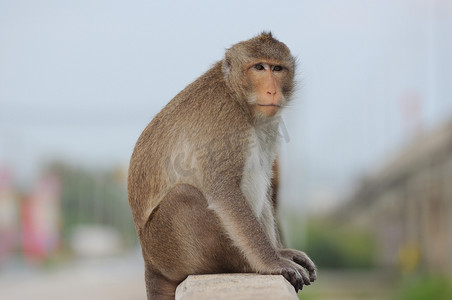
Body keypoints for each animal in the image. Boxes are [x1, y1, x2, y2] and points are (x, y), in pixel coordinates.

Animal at [127, 31, 316, 298]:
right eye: (259, 67)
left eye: (277, 68)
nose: (272, 91)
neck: (236, 94)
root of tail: (149, 262)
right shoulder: (226, 120)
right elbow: (224, 190)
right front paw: (273, 262)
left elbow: (264, 178)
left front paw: (280, 253)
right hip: (167, 249)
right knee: (182, 196)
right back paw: (243, 265)